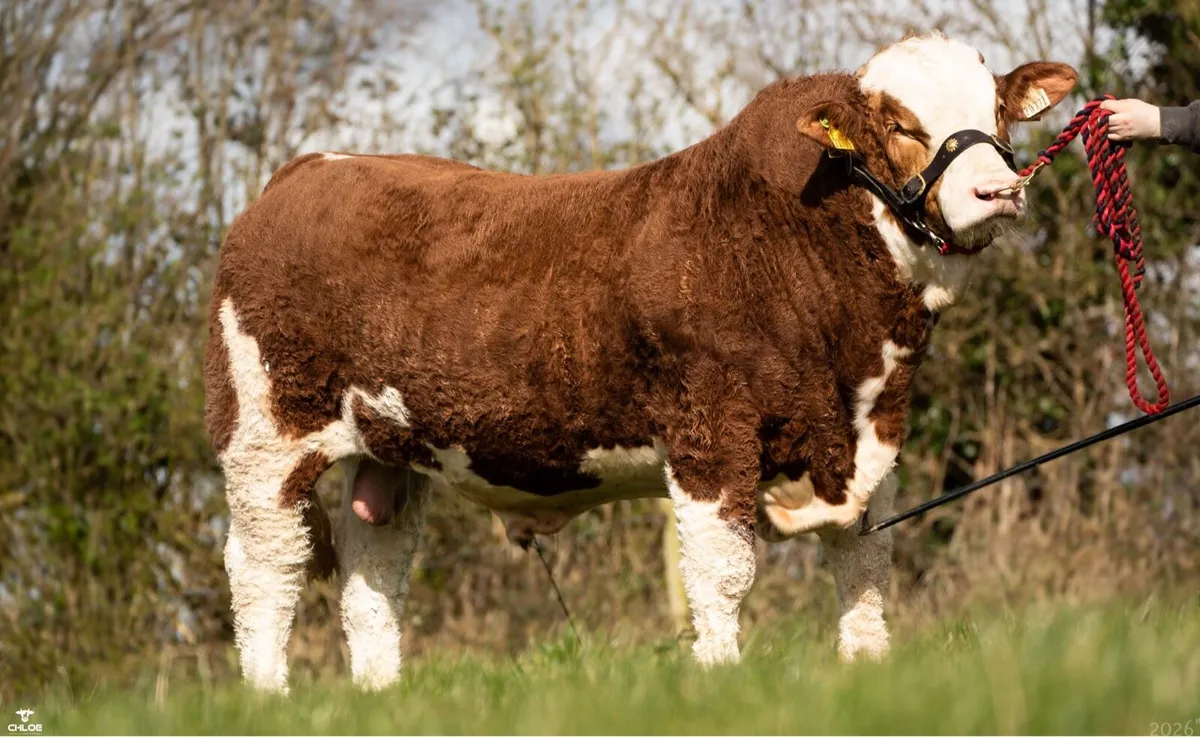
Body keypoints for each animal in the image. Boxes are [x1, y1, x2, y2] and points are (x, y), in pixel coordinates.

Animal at [204, 31, 1077, 692]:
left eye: (997, 111)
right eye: (898, 123)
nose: (998, 190)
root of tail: (312, 168)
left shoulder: (871, 432)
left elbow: (865, 557)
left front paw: (867, 667)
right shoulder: (710, 430)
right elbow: (722, 569)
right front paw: (721, 677)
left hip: (389, 450)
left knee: (373, 575)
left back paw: (381, 692)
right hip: (264, 432)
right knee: (266, 568)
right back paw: (269, 694)